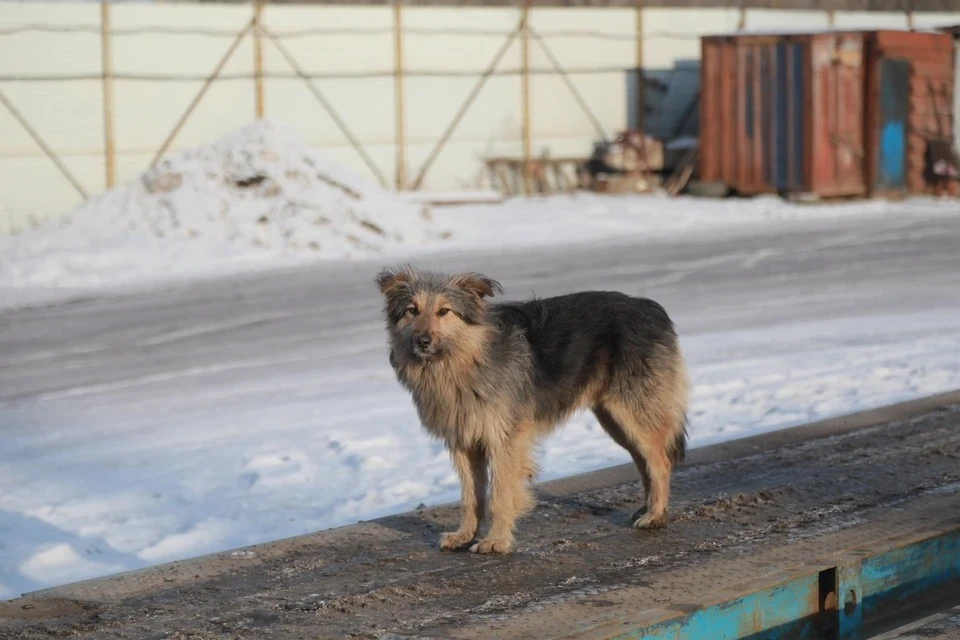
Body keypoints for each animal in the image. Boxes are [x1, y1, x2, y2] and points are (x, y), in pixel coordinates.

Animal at [376, 264, 688, 556]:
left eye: (444, 311)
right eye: (412, 310)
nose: (422, 341)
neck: (464, 359)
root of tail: (652, 307)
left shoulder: (504, 440)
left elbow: (500, 495)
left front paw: (496, 541)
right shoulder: (464, 442)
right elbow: (470, 497)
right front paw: (464, 535)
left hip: (633, 413)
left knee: (660, 463)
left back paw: (655, 516)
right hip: (616, 420)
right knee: (644, 463)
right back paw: (647, 508)